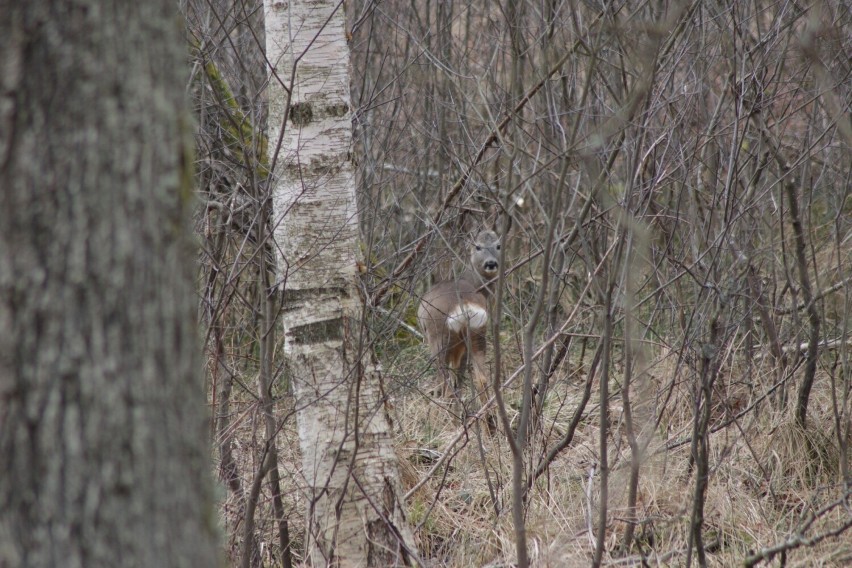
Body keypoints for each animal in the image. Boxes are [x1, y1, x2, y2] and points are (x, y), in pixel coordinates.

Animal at [418, 230, 502, 418]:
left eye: (498, 246)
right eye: (478, 246)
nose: (491, 263)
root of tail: (464, 306)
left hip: (439, 337)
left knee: (444, 384)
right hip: (477, 334)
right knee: (481, 378)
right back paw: (489, 419)